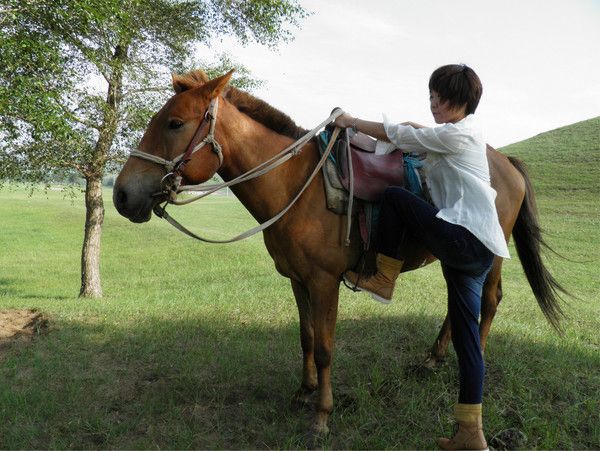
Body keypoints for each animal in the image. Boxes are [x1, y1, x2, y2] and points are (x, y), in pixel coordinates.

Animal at [113, 69, 568, 436]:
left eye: (175, 123)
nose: (121, 195)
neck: (297, 186)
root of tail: (504, 161)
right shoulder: (297, 280)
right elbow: (306, 337)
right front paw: (303, 392)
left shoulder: (324, 281)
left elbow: (326, 348)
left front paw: (321, 416)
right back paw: (433, 358)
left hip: (489, 255)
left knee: (489, 302)